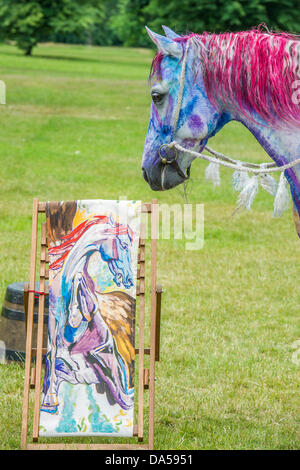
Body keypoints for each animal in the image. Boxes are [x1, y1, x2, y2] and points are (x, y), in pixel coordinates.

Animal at [41, 215, 135, 414]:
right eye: (124, 245)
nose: (129, 279)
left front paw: (76, 310)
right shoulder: (53, 320)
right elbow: (52, 354)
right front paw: (49, 399)